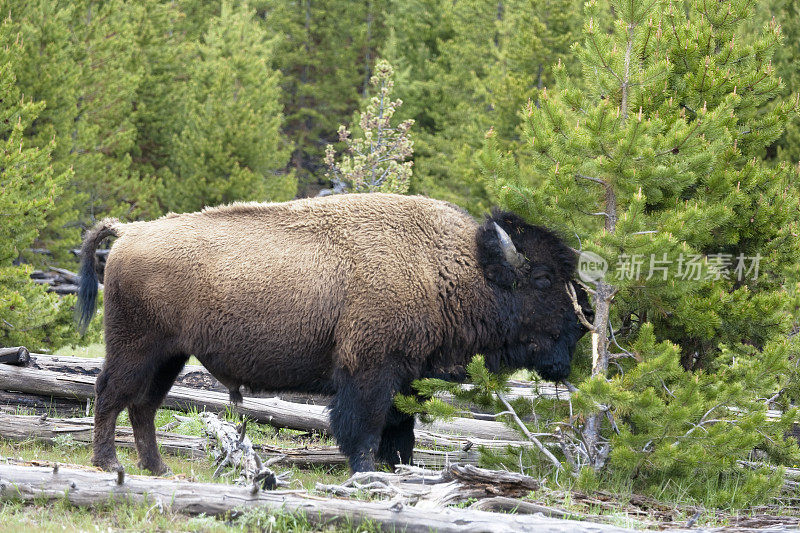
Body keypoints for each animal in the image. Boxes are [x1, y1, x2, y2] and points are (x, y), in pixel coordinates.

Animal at [76, 192, 588, 474]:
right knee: (110, 391)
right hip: (136, 347)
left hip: (171, 355)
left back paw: (156, 466)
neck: (449, 266)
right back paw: (110, 462)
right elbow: (366, 428)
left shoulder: (407, 380)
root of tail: (130, 232)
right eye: (543, 279)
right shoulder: (370, 372)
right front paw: (365, 474)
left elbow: (401, 432)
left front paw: (398, 472)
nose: (580, 330)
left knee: (144, 404)